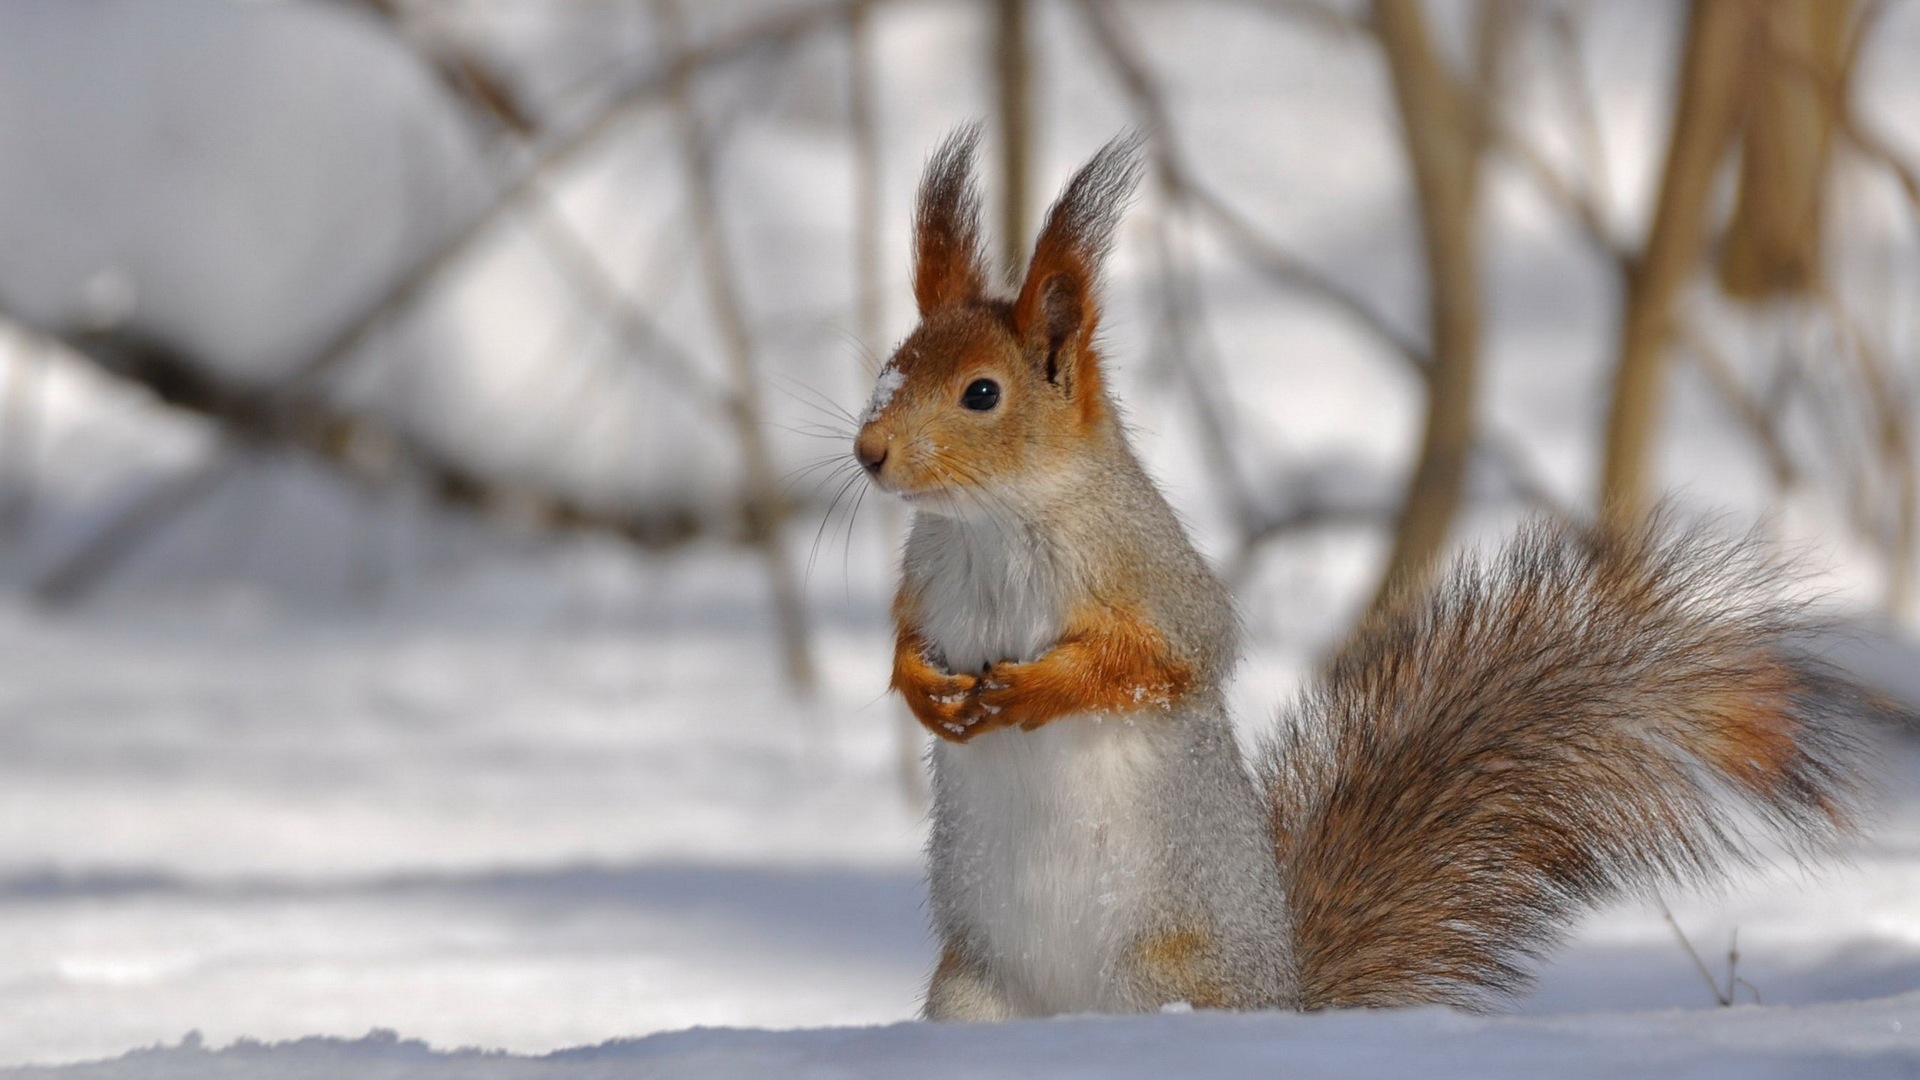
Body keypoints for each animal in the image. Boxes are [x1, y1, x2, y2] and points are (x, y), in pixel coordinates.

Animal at [852, 127, 1873, 1014]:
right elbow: (905, 637)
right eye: (890, 366)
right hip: (972, 991)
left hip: (1159, 973)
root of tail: (1287, 1002)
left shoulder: (1152, 576)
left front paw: (1033, 690)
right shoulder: (926, 576)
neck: (990, 525)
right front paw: (921, 689)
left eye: (983, 393)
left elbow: (1166, 661)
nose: (869, 452)